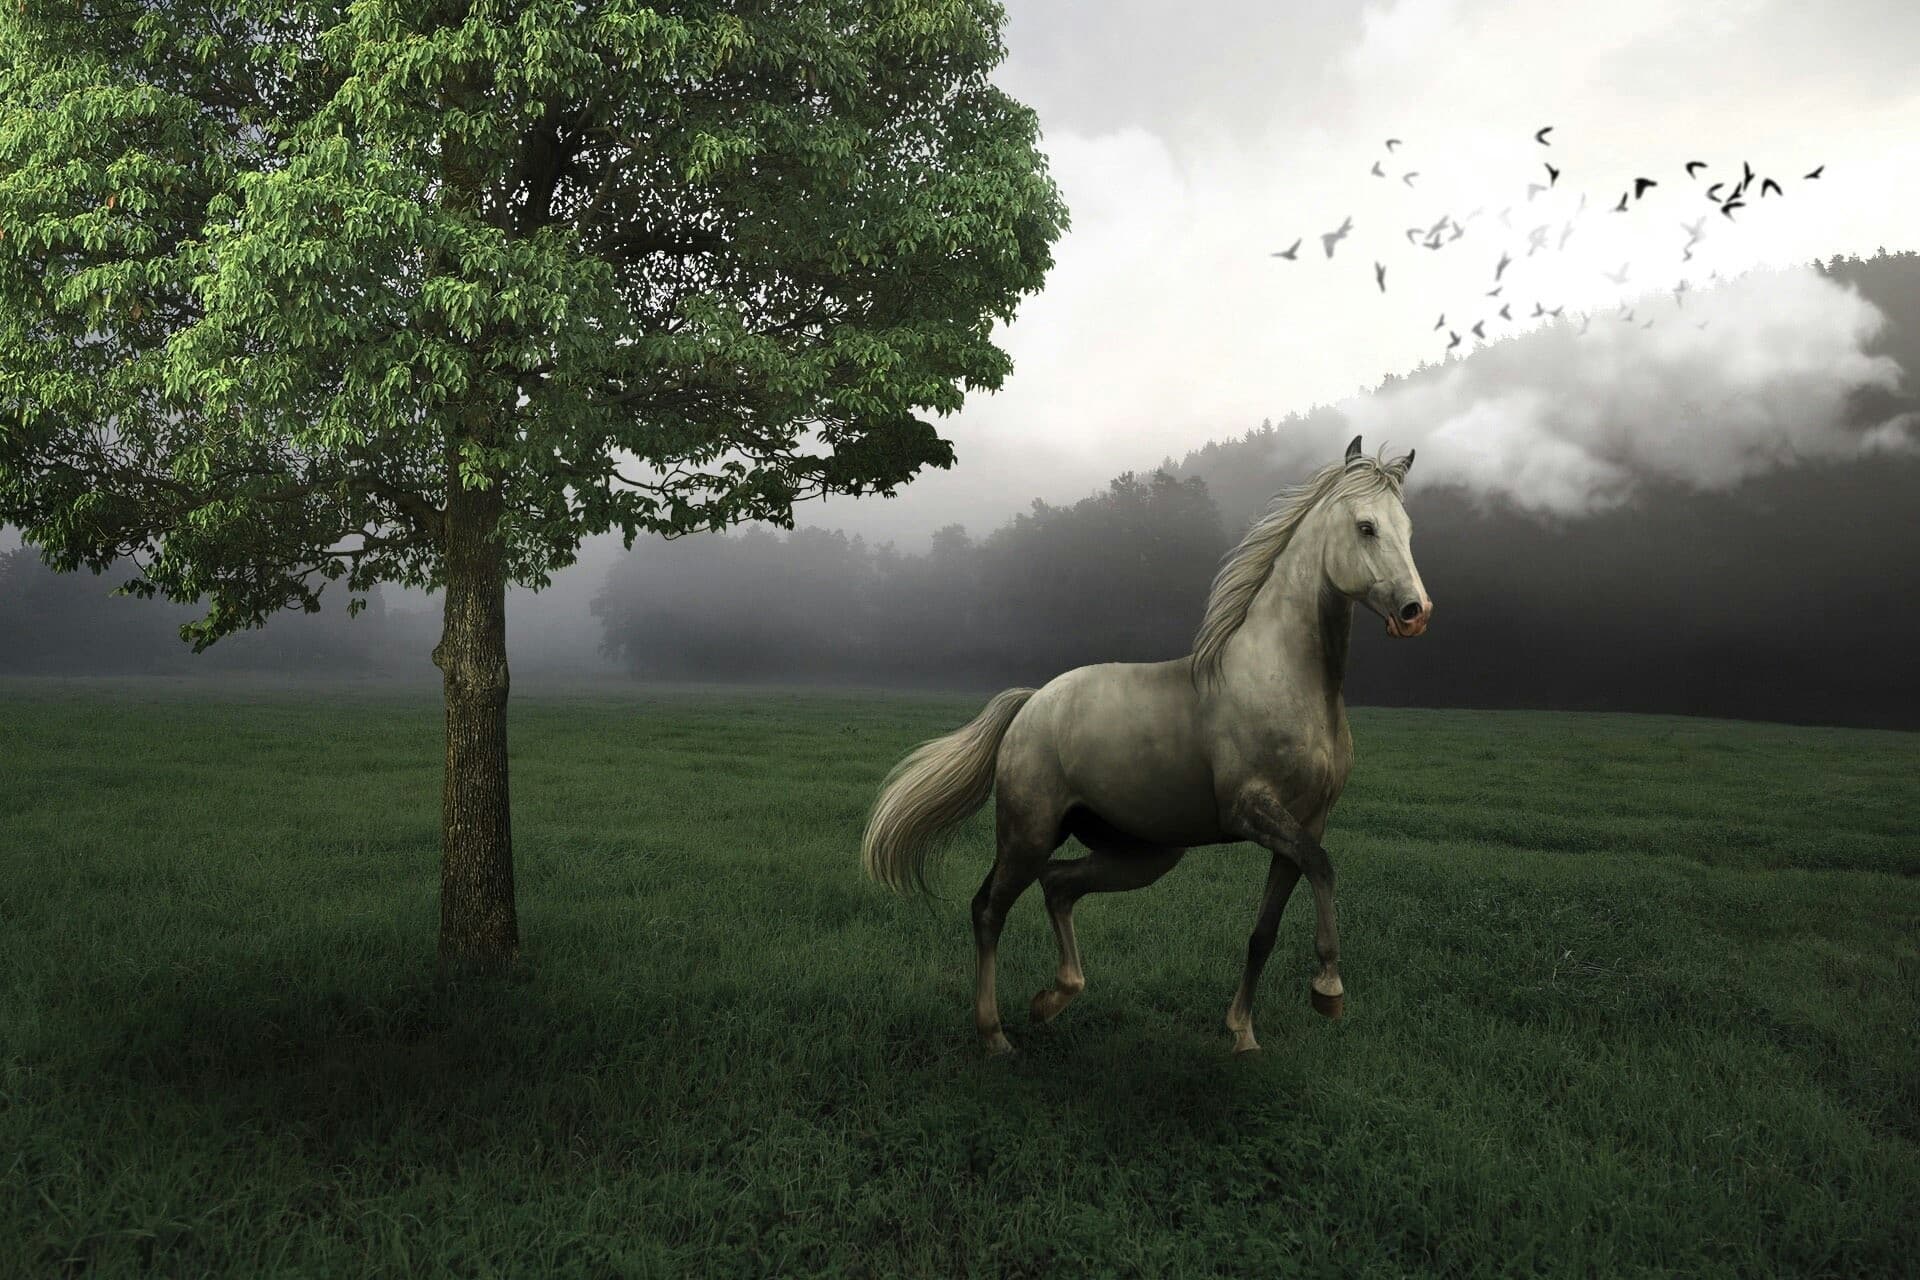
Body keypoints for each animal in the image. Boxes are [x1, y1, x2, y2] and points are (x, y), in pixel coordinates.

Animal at [860, 435, 1432, 1055]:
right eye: (1366, 526)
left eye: (1409, 528)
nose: (1415, 613)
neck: (1282, 677)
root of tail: (1032, 703)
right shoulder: (1252, 811)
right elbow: (1324, 869)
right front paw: (1328, 991)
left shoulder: (1305, 824)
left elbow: (1266, 928)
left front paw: (1243, 1033)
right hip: (1028, 833)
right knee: (988, 909)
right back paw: (995, 1035)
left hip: (1139, 853)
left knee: (1058, 886)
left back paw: (1053, 999)